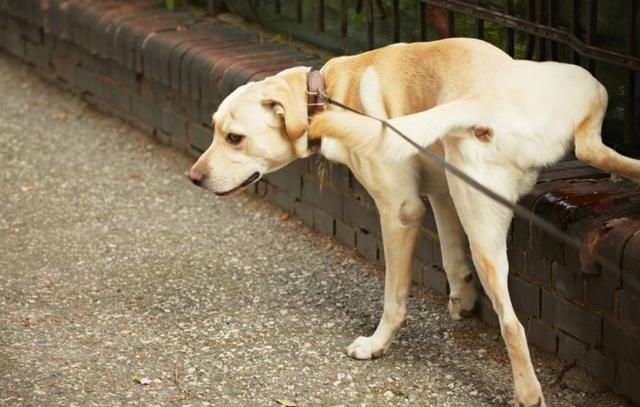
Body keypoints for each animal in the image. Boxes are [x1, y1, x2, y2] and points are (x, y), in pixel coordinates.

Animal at [189, 37, 640, 404]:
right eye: (214, 129)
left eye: (234, 138)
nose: (194, 177)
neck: (330, 91)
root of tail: (485, 100)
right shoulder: (441, 192)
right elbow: (451, 256)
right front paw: (462, 299)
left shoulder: (401, 211)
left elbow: (394, 297)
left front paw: (376, 345)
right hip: (580, 97)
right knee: (596, 151)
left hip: (480, 222)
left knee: (512, 324)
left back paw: (528, 395)